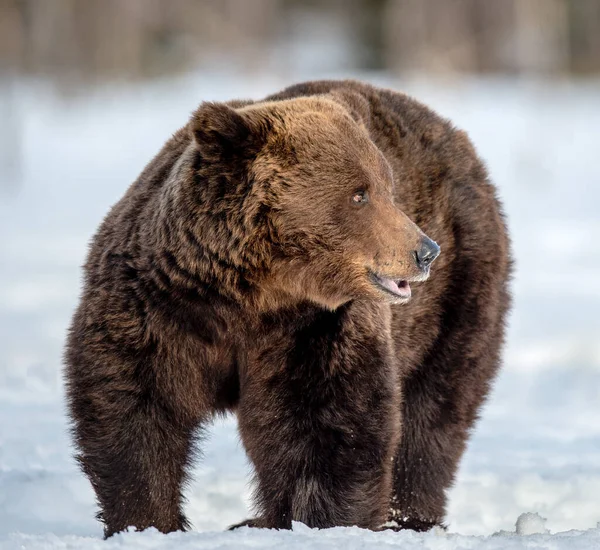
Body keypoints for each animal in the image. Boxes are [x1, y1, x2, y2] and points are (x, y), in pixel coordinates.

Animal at [64, 80, 510, 540]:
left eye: (388, 187)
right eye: (360, 193)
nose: (424, 251)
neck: (251, 296)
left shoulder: (315, 327)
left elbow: (328, 426)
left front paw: (318, 523)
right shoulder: (159, 307)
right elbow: (135, 407)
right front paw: (146, 523)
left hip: (457, 294)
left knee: (433, 412)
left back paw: (406, 519)